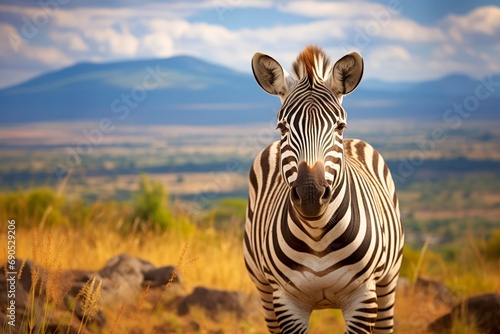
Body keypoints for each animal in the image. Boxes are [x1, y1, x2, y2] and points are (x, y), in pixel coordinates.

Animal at [244, 45, 404, 334]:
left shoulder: (363, 297)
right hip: (264, 290)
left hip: (387, 284)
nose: (310, 196)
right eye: (282, 127)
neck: (317, 235)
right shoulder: (285, 301)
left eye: (340, 126)